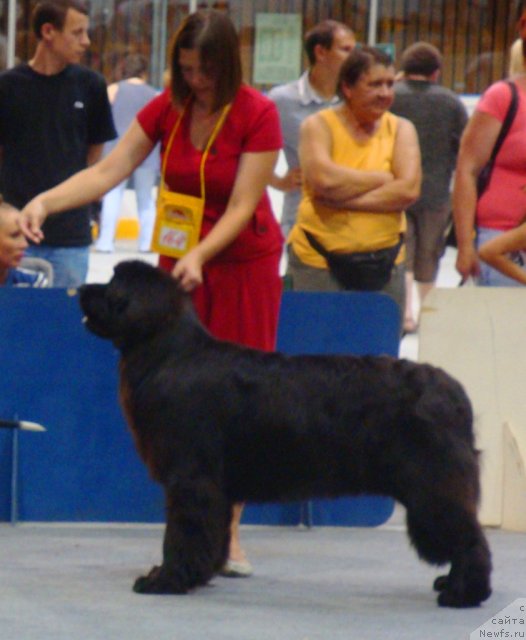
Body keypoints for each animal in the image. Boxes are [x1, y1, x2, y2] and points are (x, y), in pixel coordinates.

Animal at [79, 258, 496, 604]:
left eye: (112, 284)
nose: (81, 290)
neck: (169, 352)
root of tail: (454, 393)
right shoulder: (214, 487)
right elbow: (211, 534)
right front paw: (200, 574)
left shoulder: (190, 477)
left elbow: (181, 533)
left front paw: (165, 580)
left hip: (432, 486)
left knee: (469, 538)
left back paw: (463, 593)